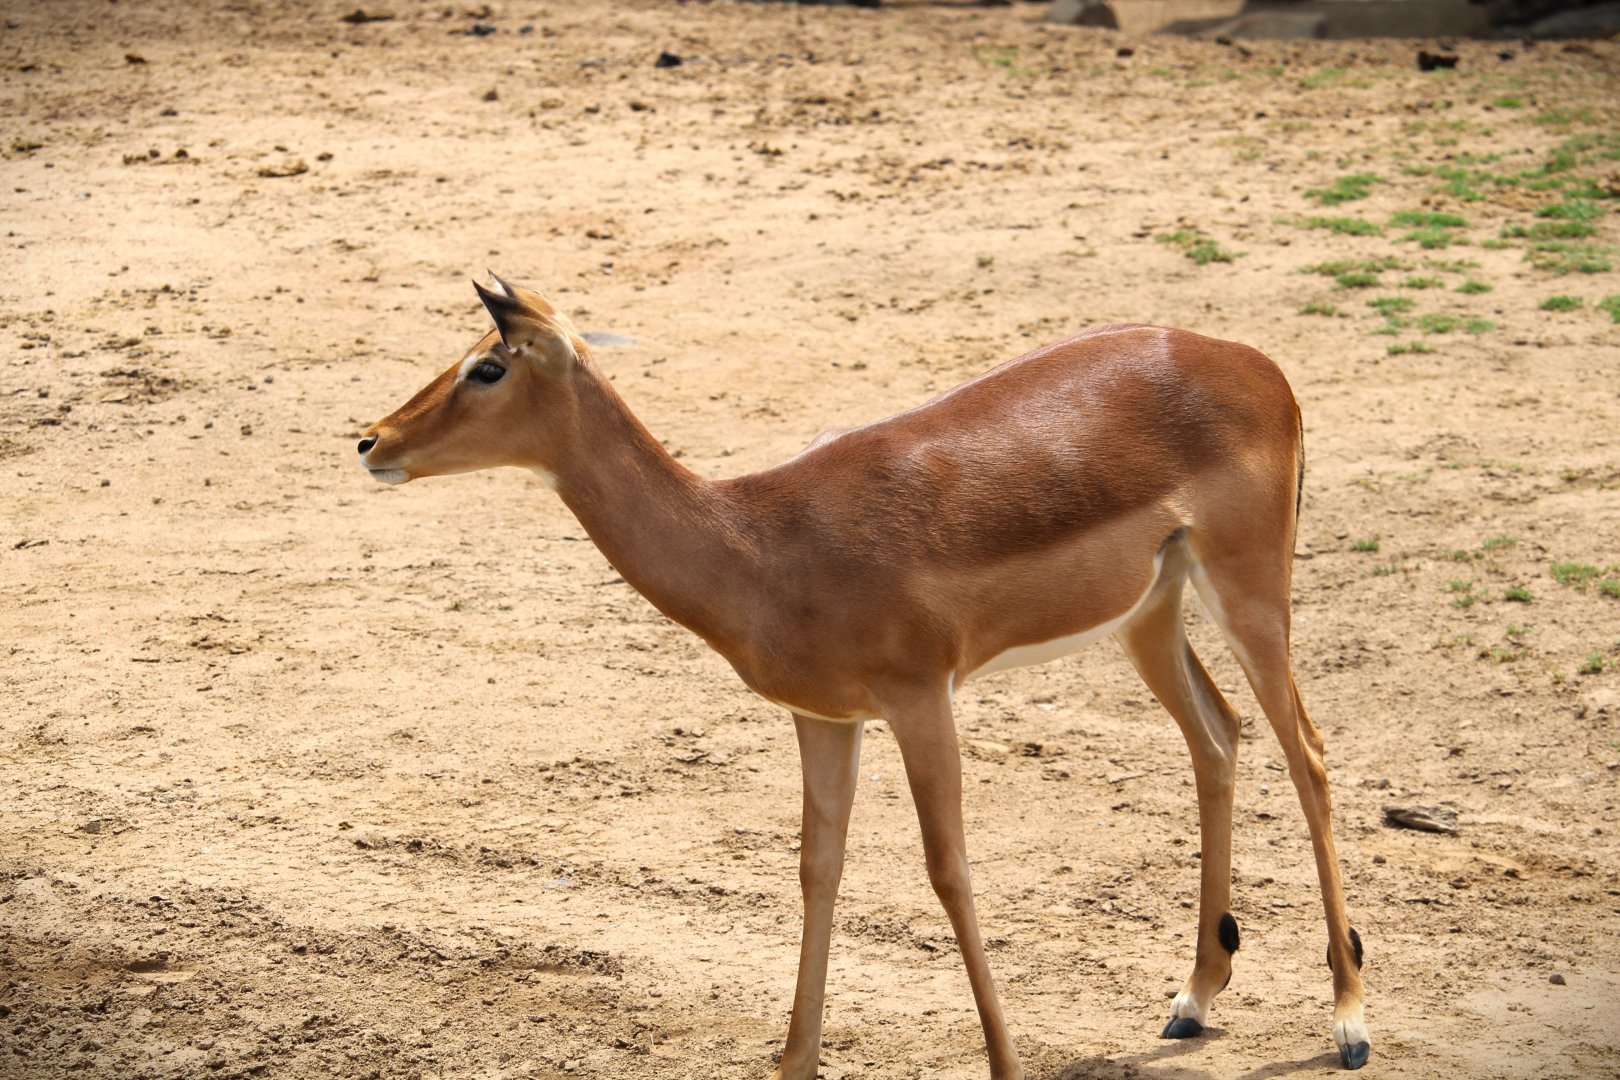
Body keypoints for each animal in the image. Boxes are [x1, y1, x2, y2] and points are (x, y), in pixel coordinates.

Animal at [357, 275, 1371, 1075]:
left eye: (489, 365)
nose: (370, 440)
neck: (761, 543)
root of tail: (1258, 365)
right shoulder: (825, 718)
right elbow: (819, 868)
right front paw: (793, 1065)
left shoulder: (921, 701)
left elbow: (948, 869)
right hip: (1149, 613)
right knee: (1219, 737)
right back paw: (1193, 998)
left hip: (1248, 591)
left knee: (1311, 754)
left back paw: (1350, 1021)